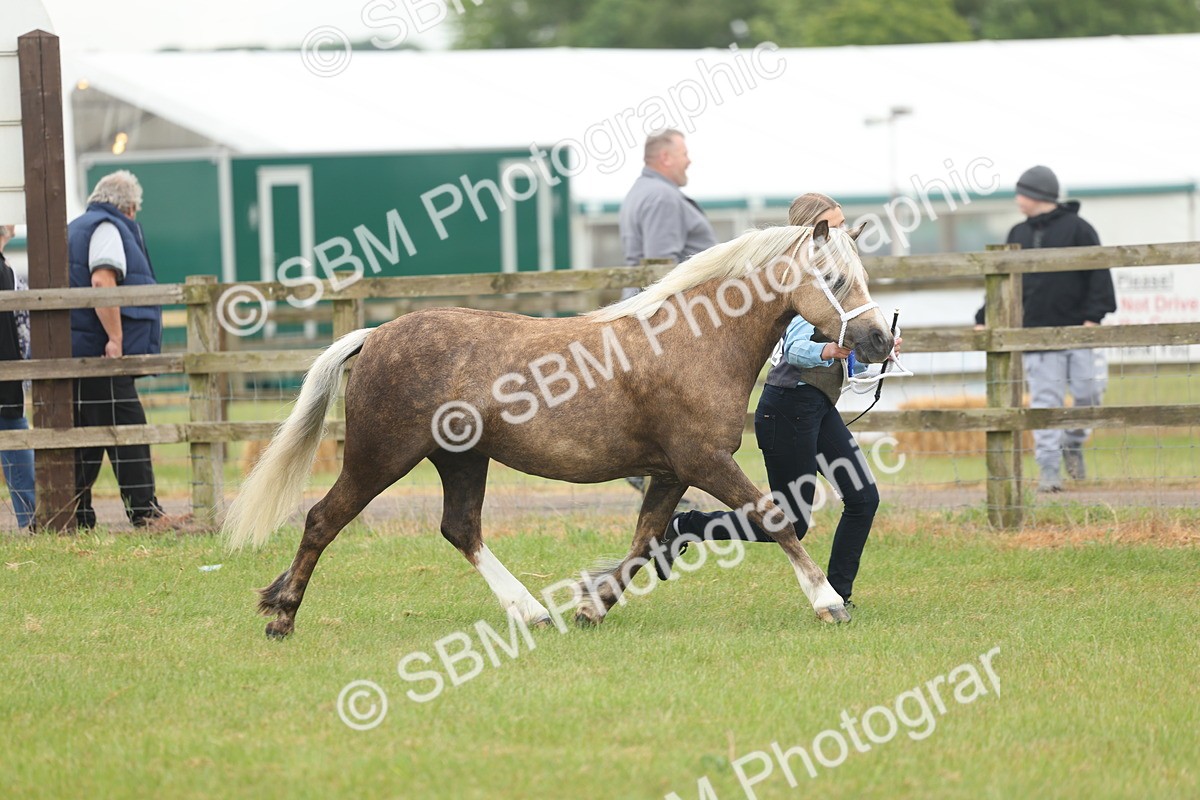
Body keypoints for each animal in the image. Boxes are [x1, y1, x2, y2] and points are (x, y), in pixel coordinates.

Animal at [224, 221, 893, 638]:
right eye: (835, 279)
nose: (878, 342)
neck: (694, 340)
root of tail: (376, 336)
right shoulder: (705, 461)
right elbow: (775, 517)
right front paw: (829, 603)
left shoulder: (671, 471)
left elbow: (646, 539)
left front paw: (592, 608)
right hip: (381, 456)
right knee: (322, 520)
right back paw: (282, 618)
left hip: (460, 459)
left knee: (460, 529)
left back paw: (532, 613)